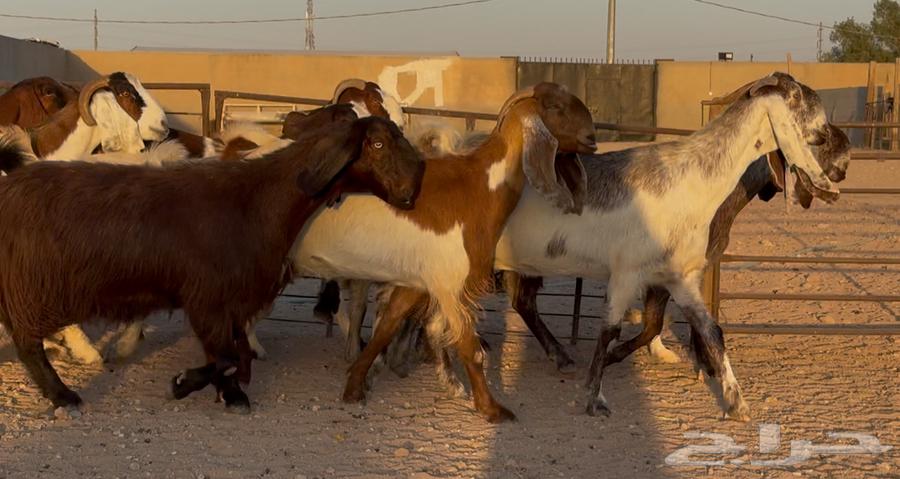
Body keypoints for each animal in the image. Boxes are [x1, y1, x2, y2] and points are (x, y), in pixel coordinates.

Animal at [0, 115, 424, 412]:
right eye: (377, 143)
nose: (413, 189)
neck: (259, 199)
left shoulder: (228, 300)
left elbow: (231, 353)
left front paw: (231, 394)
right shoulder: (208, 297)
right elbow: (225, 355)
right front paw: (183, 383)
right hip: (31, 285)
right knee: (26, 342)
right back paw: (63, 394)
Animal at [288, 83, 596, 422]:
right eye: (555, 106)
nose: (592, 137)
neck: (478, 187)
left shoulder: (418, 280)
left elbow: (388, 324)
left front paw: (356, 386)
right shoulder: (450, 282)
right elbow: (470, 348)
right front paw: (491, 408)